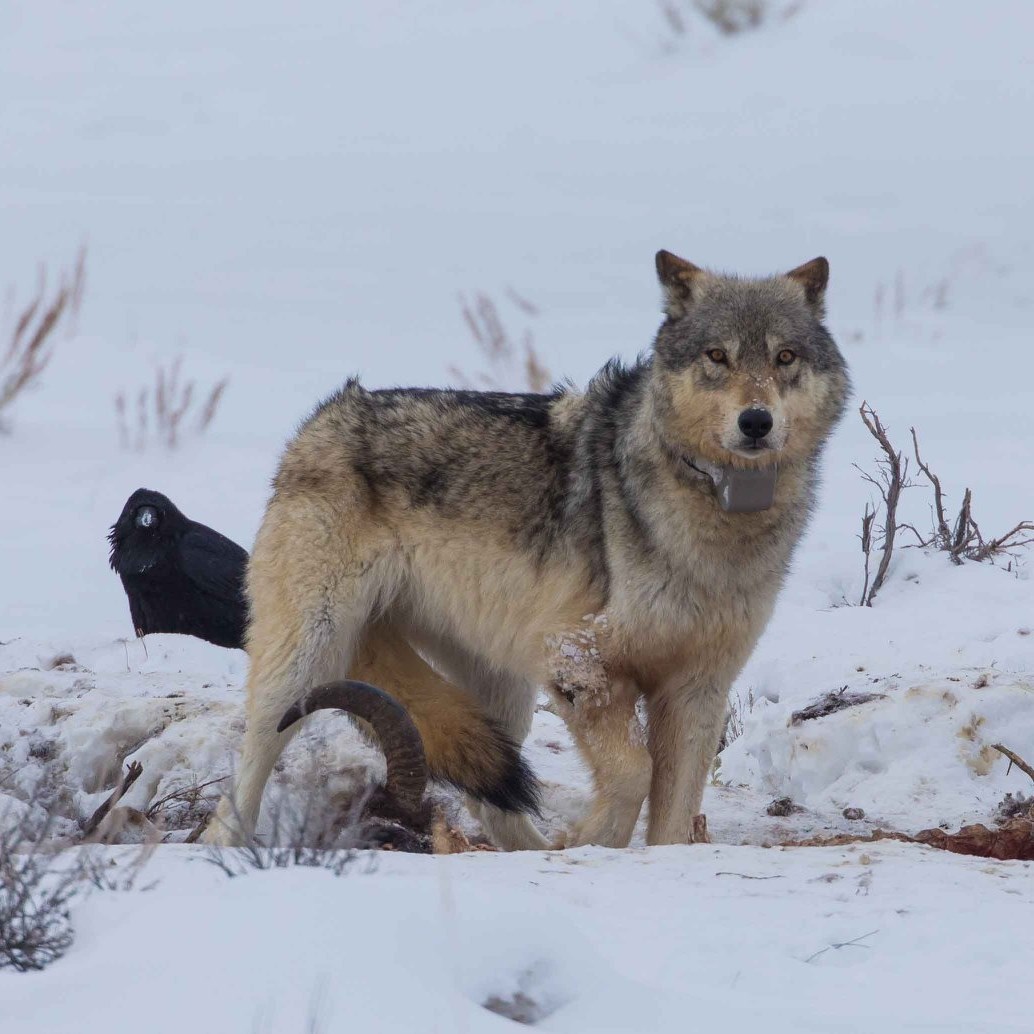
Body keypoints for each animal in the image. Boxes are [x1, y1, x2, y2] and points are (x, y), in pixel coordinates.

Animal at [206, 250, 849, 850]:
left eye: (784, 358)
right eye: (717, 356)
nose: (756, 421)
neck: (715, 518)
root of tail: (321, 419)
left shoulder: (697, 689)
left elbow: (672, 811)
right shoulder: (575, 660)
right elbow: (631, 774)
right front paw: (592, 842)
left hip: (502, 687)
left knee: (491, 796)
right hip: (306, 661)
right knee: (248, 767)